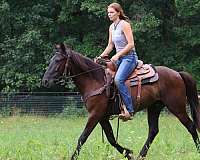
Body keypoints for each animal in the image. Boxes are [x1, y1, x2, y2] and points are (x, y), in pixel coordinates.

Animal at [42, 43, 200, 159]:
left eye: (58, 60)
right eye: (51, 60)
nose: (45, 81)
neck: (95, 80)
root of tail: (177, 73)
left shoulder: (95, 114)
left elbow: (83, 137)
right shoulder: (102, 116)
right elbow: (111, 138)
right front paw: (128, 153)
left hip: (177, 107)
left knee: (191, 126)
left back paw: (198, 150)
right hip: (154, 107)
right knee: (153, 130)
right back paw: (141, 155)